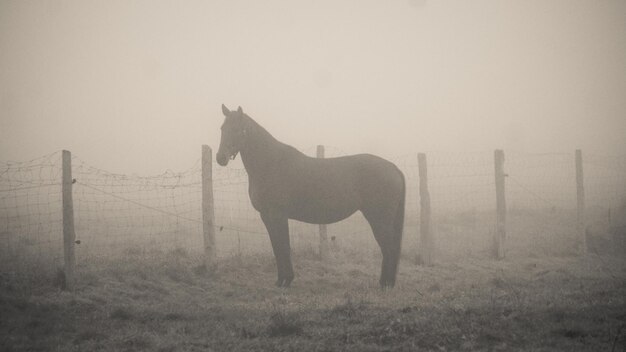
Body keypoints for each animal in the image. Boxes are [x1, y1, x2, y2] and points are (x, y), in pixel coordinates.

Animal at [214, 105, 404, 288]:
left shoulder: (278, 215)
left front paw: (286, 280)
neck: (270, 164)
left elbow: (283, 246)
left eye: (238, 129)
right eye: (222, 128)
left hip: (379, 219)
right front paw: (280, 280)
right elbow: (277, 247)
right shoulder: (266, 216)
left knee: (388, 248)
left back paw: (386, 284)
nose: (220, 158)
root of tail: (393, 168)